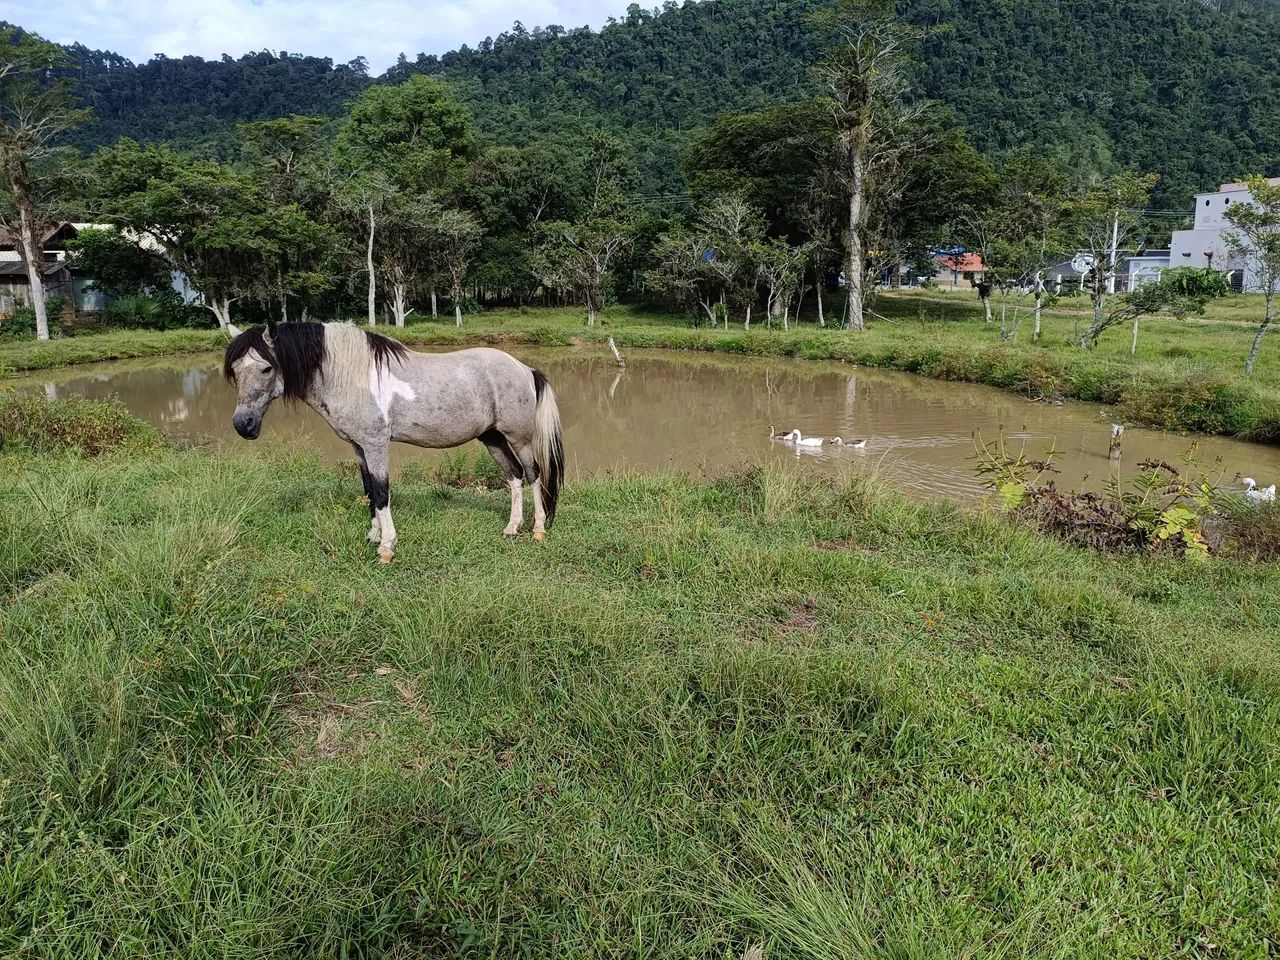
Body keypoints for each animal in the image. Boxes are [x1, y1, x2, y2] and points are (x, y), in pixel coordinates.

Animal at [223, 321, 564, 562]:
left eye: (266, 367)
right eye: (236, 371)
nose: (243, 424)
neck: (352, 376)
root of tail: (525, 369)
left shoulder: (376, 444)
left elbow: (382, 492)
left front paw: (386, 547)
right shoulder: (359, 447)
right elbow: (369, 490)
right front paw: (373, 535)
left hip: (519, 437)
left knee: (533, 475)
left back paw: (537, 529)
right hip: (491, 437)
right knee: (514, 476)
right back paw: (512, 528)